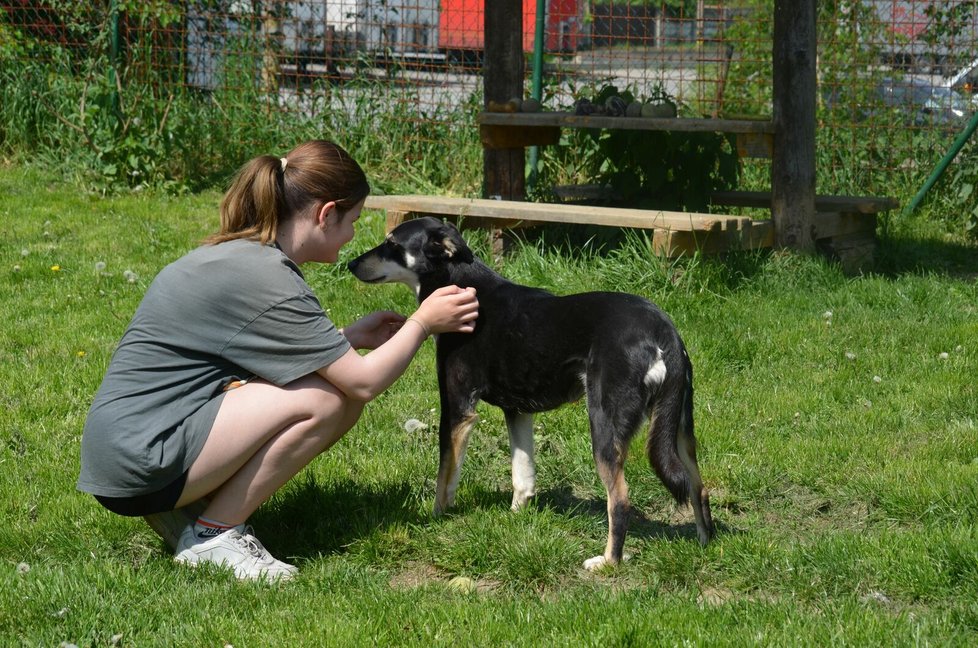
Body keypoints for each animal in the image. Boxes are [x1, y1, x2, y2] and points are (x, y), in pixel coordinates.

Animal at [346, 216, 712, 568]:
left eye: (392, 243)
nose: (350, 264)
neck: (460, 284)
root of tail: (664, 330)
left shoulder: (457, 406)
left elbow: (445, 476)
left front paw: (436, 517)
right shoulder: (518, 411)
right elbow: (522, 472)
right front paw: (515, 515)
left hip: (604, 424)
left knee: (620, 499)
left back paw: (608, 561)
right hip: (680, 428)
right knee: (698, 486)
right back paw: (705, 543)